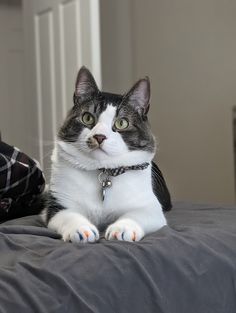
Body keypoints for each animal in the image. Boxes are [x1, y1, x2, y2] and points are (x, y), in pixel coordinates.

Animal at [42, 65, 171, 241]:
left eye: (122, 123)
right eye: (87, 118)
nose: (99, 136)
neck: (103, 172)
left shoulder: (151, 206)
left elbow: (136, 215)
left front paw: (122, 228)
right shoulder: (57, 204)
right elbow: (69, 216)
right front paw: (81, 229)